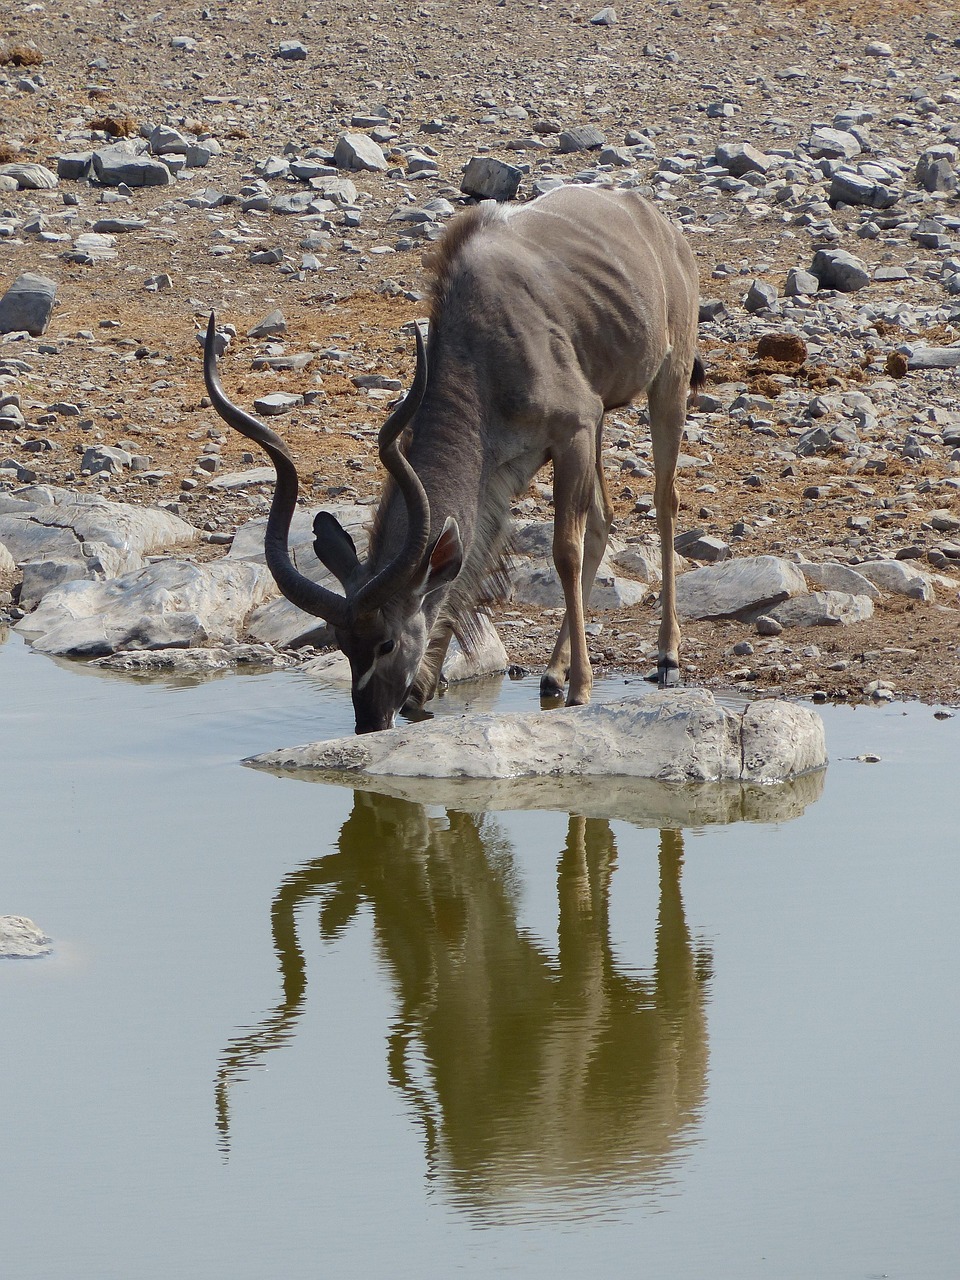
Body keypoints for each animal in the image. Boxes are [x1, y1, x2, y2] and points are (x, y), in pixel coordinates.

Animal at [203, 185, 701, 737]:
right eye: (341, 643)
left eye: (386, 642)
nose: (370, 721)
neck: (483, 347)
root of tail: (658, 223)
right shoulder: (507, 469)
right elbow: (468, 565)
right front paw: (425, 693)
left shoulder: (573, 427)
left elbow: (564, 552)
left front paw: (582, 691)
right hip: (601, 426)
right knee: (605, 517)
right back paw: (552, 673)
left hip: (668, 381)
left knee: (663, 500)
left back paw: (665, 657)